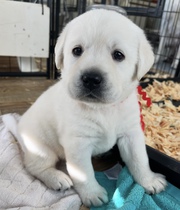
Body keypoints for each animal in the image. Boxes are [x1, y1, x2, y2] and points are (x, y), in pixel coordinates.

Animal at [3, 9, 166, 207]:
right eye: (77, 50)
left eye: (118, 55)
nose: (91, 79)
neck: (103, 109)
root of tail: (20, 132)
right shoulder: (78, 144)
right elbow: (84, 173)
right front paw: (92, 194)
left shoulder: (131, 134)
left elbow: (139, 159)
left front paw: (149, 180)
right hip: (41, 149)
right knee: (34, 167)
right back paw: (57, 178)